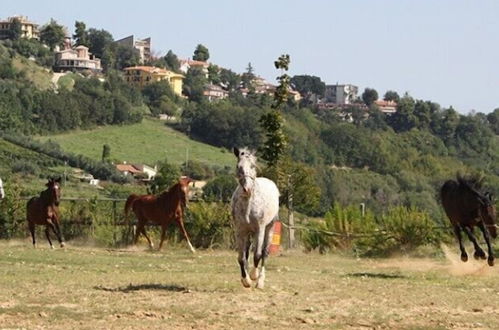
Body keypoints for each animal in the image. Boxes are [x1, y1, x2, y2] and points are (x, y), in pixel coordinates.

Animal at [231, 148, 280, 288]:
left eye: (252, 166)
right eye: (238, 167)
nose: (246, 189)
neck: (249, 203)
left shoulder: (260, 229)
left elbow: (257, 255)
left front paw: (254, 276)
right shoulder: (240, 231)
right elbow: (241, 257)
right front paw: (246, 280)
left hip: (270, 228)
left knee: (265, 252)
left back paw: (260, 281)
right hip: (249, 232)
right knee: (247, 252)